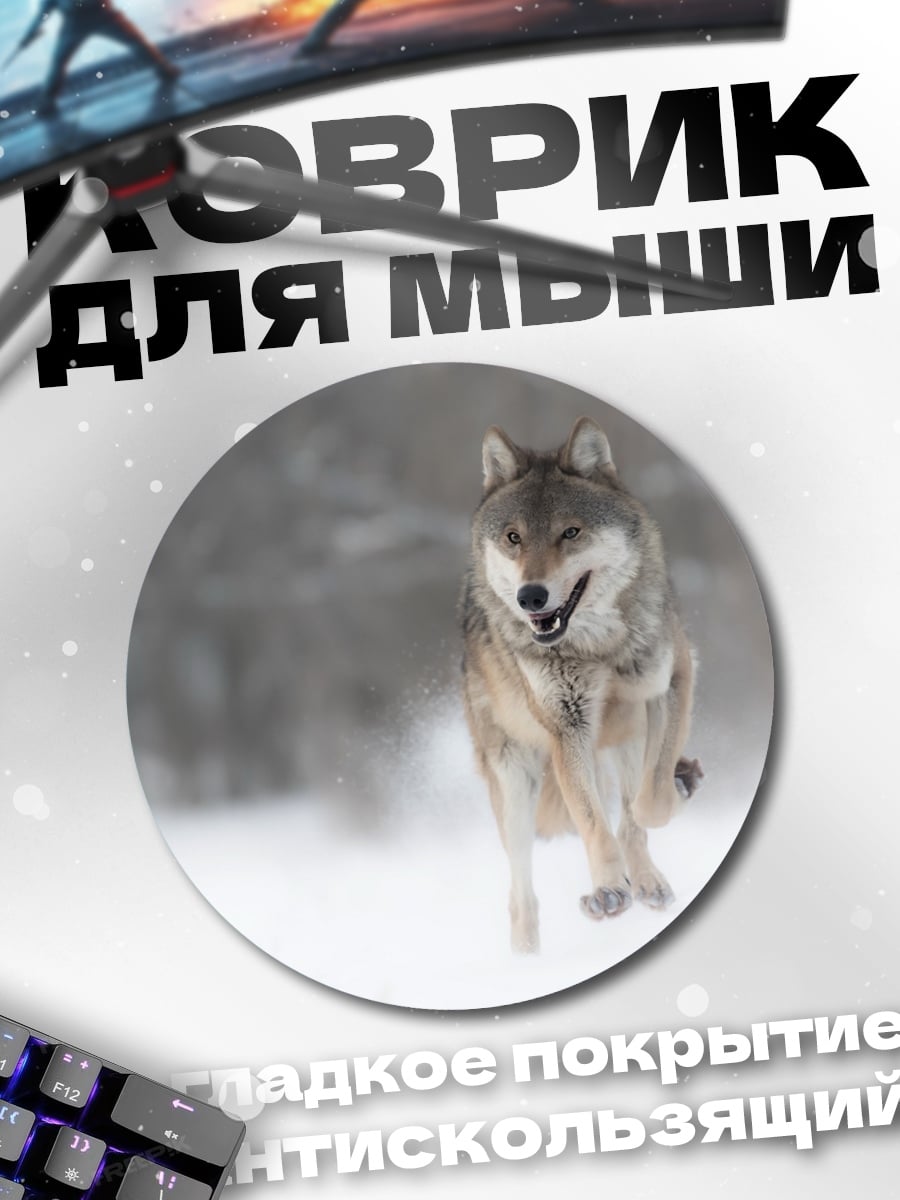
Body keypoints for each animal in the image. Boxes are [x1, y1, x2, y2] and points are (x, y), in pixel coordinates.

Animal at [461, 416, 703, 953]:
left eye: (570, 532)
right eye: (513, 537)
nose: (531, 597)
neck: (598, 648)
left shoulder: (673, 680)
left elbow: (649, 805)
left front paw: (674, 791)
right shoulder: (566, 727)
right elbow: (595, 823)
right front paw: (608, 891)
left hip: (625, 739)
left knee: (633, 805)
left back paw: (650, 877)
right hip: (516, 787)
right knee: (522, 895)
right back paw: (527, 959)